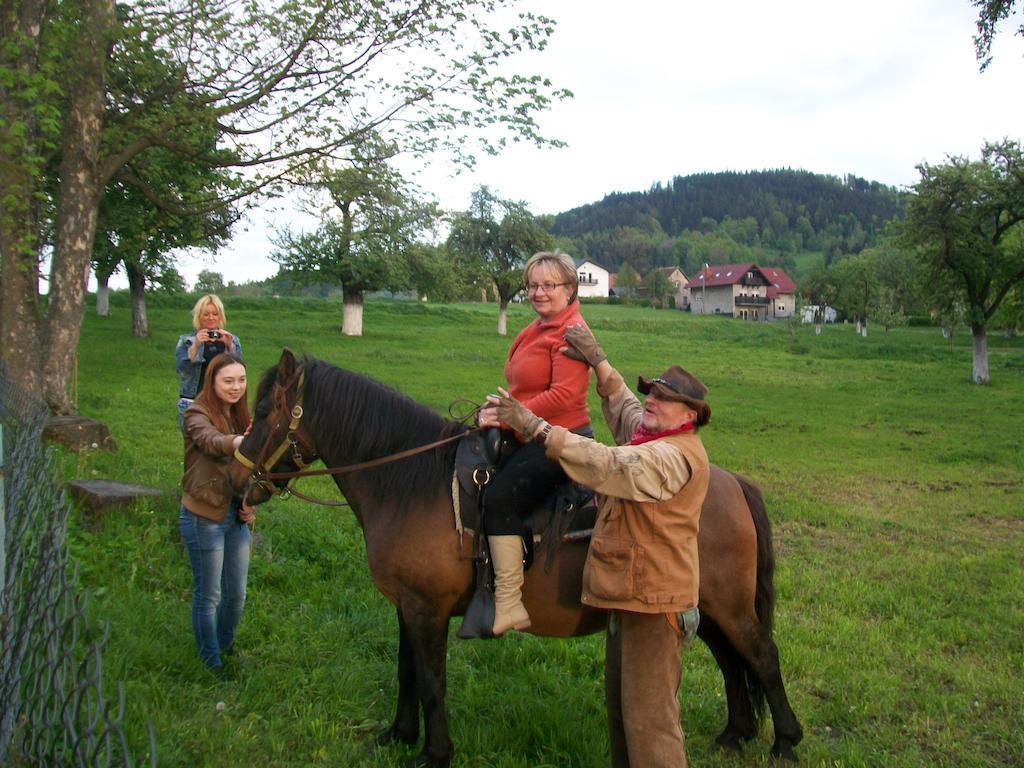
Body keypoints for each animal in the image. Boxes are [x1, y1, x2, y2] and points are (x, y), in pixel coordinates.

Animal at [230, 350, 798, 768]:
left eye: (264, 413)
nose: (237, 482)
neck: (413, 485)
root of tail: (731, 481)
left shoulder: (427, 609)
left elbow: (431, 682)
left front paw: (434, 754)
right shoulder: (407, 605)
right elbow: (406, 671)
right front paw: (398, 734)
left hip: (727, 604)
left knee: (762, 657)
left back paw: (785, 741)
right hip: (704, 607)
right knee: (732, 661)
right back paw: (736, 733)